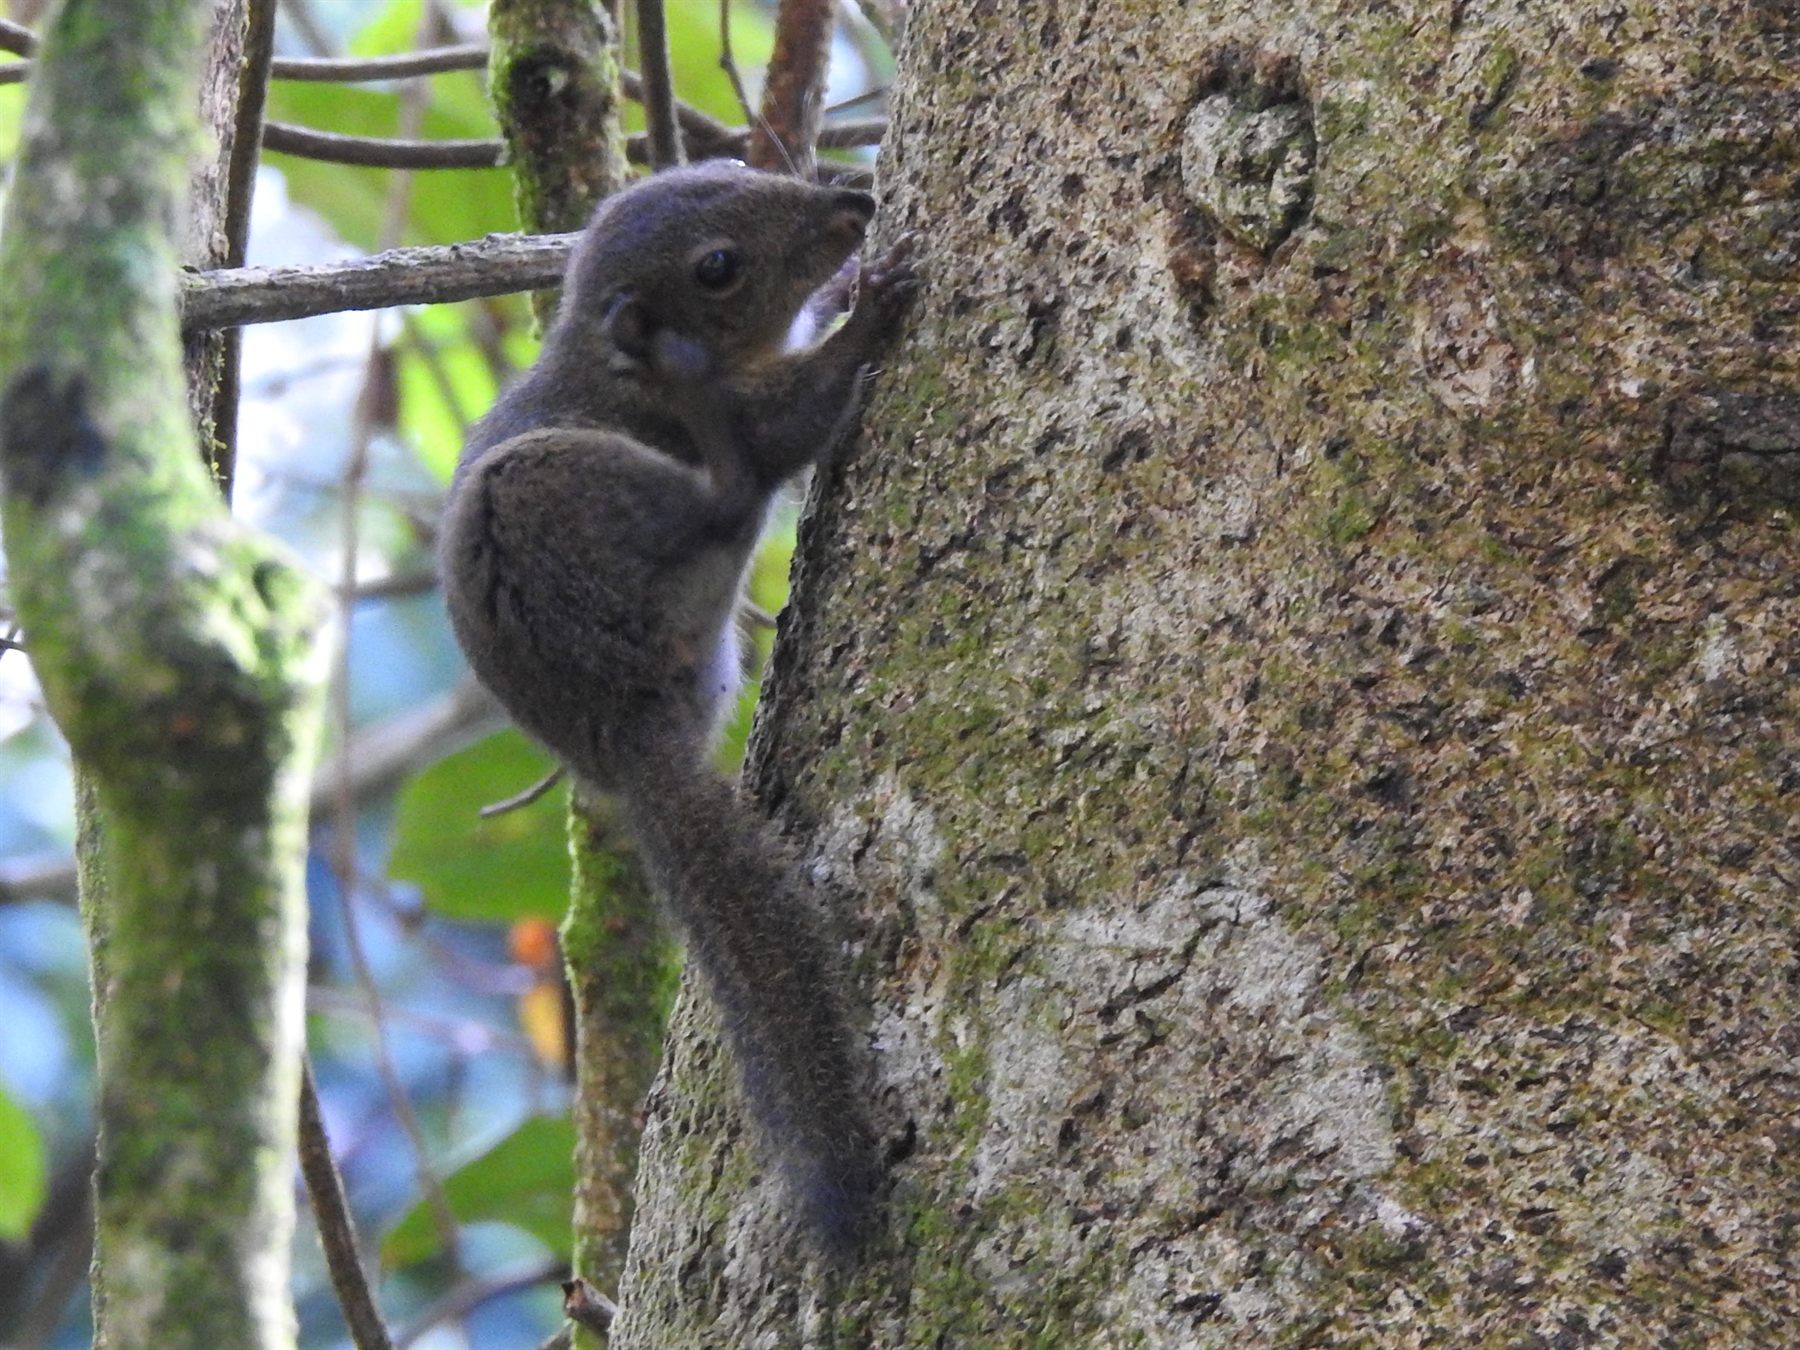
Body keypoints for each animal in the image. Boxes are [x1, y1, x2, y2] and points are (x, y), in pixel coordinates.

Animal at [438, 160, 921, 1259]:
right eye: (718, 267)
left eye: (731, 171)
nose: (850, 209)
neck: (621, 365)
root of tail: (621, 738)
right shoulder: (732, 406)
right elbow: (785, 425)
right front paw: (869, 313)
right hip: (567, 503)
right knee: (731, 498)